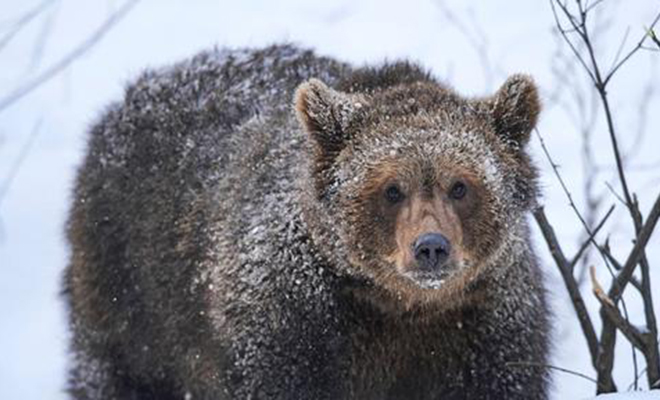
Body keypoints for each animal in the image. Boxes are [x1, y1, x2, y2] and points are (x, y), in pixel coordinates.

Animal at [64, 42, 548, 398]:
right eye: (392, 189)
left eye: (460, 186)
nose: (431, 247)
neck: (399, 307)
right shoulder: (291, 323)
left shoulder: (484, 324)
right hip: (130, 288)